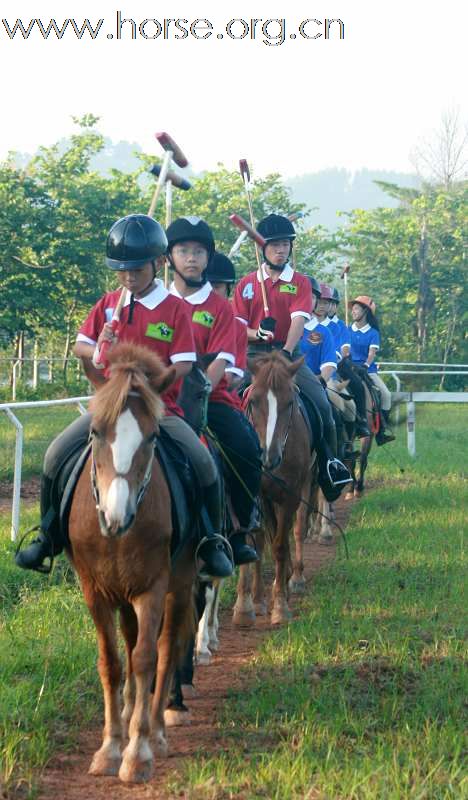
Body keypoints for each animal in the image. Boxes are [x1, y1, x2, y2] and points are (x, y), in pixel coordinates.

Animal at [67, 342, 196, 780]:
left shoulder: (153, 587)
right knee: (131, 640)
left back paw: (155, 728)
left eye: (153, 436)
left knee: (166, 648)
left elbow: (145, 658)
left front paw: (137, 751)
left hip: (180, 584)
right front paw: (110, 746)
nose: (114, 516)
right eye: (94, 432)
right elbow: (111, 662)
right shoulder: (95, 589)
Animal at [233, 354, 314, 628]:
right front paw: (247, 604)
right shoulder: (253, 493)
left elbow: (279, 545)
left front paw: (279, 605)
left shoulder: (290, 495)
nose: (269, 457)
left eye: (289, 403)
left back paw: (293, 578)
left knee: (295, 530)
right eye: (254, 400)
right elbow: (254, 540)